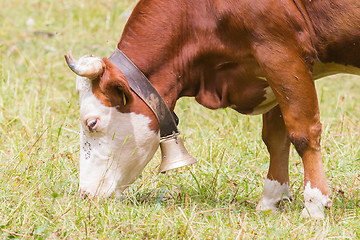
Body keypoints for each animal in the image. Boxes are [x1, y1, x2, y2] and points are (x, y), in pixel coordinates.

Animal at [65, 0, 360, 218]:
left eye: (92, 123)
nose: (85, 194)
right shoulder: (269, 71)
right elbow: (276, 138)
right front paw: (270, 200)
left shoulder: (281, 54)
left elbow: (302, 132)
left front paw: (314, 204)